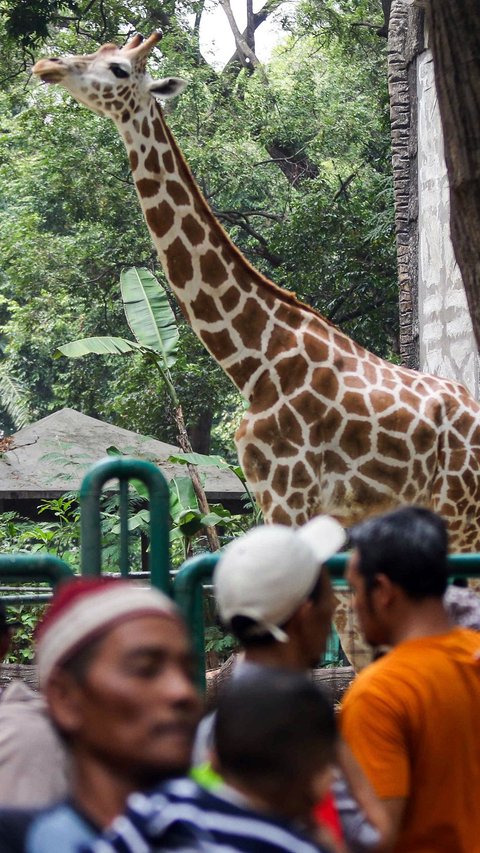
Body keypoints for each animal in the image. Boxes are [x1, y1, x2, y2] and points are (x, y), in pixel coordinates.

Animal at [32, 33, 480, 668]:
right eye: (96, 49)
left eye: (118, 67)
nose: (47, 64)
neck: (253, 360)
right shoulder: (305, 509)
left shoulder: (290, 499)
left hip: (462, 515)